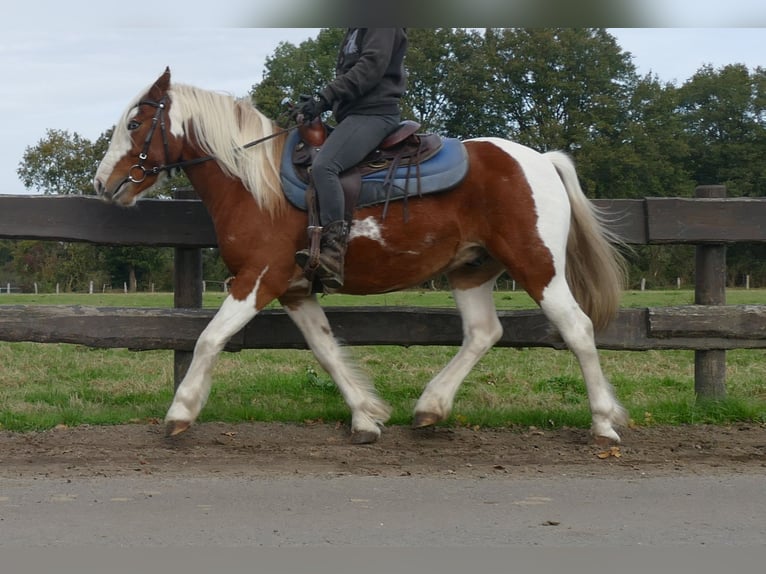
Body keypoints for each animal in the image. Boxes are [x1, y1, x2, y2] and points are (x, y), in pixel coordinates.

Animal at [93, 67, 632, 446]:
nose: (102, 183)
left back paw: (604, 424)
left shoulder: (259, 278)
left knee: (578, 329)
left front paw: (180, 413)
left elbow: (208, 339)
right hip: (470, 269)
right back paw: (431, 406)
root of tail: (541, 160)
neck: (257, 187)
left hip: (538, 266)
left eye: (136, 122)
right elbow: (326, 350)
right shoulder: (294, 289)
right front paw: (366, 418)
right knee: (483, 333)